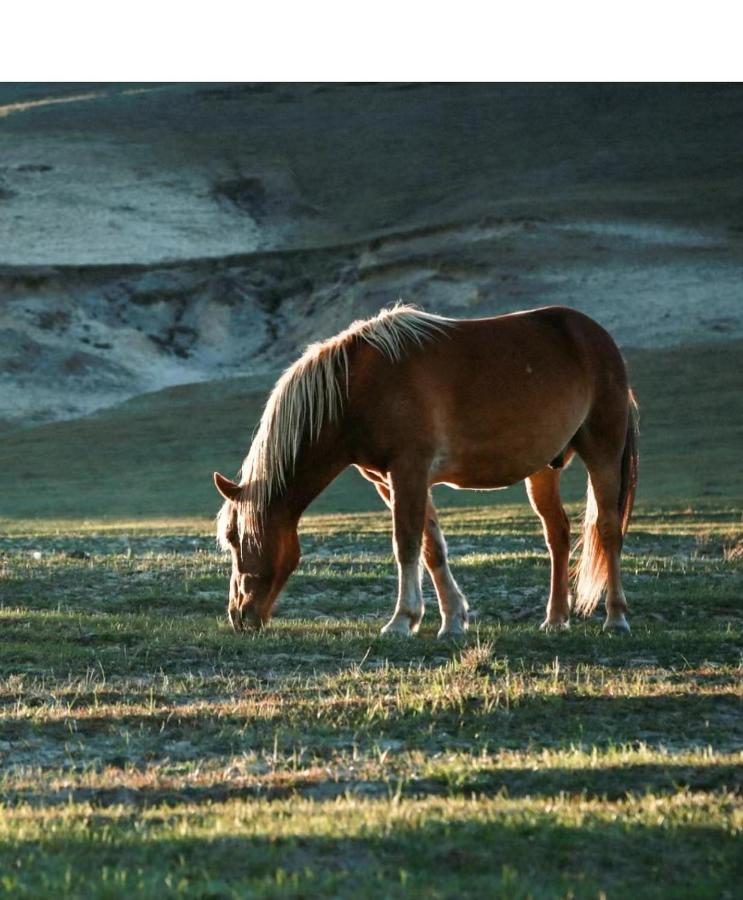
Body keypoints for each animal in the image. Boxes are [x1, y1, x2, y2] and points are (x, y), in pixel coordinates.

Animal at [214, 306, 640, 636]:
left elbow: (405, 543)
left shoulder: (410, 471)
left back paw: (616, 618)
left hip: (602, 451)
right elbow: (432, 546)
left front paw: (402, 620)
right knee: (558, 535)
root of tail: (598, 338)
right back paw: (555, 618)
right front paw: (452, 620)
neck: (355, 389)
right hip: (543, 471)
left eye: (235, 539)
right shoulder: (390, 482)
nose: (239, 616)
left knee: (608, 530)